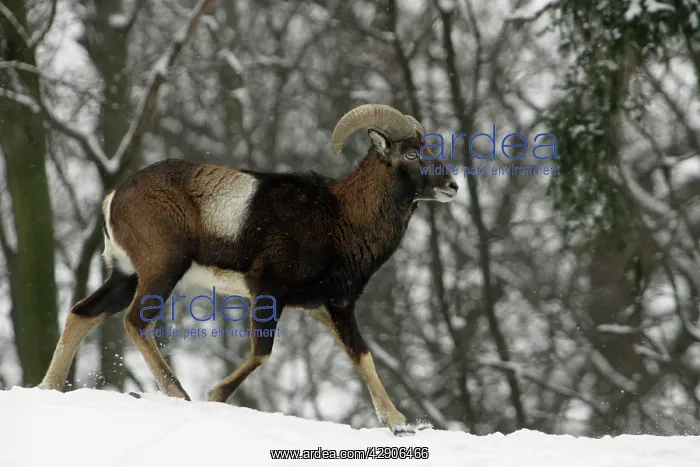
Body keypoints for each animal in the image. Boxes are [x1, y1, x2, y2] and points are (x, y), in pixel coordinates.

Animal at [38, 103, 459, 436]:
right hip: (162, 271)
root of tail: (115, 197)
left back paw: (48, 388)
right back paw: (182, 394)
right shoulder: (268, 292)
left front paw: (400, 424)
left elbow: (363, 357)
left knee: (83, 314)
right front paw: (214, 395)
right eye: (411, 155)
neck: (343, 219)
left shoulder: (332, 308)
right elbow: (262, 353)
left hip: (125, 277)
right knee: (136, 322)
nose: (452, 185)